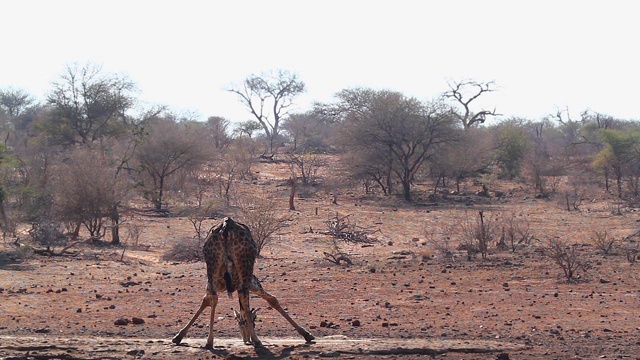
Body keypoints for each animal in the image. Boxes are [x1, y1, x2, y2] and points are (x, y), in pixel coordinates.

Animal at [171, 217, 314, 348]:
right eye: (241, 324)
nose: (246, 340)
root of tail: (226, 226)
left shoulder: (218, 284)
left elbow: (206, 300)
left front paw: (178, 337)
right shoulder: (251, 281)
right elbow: (272, 299)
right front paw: (307, 334)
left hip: (212, 267)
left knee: (215, 298)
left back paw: (209, 342)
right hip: (245, 268)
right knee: (243, 296)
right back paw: (257, 341)